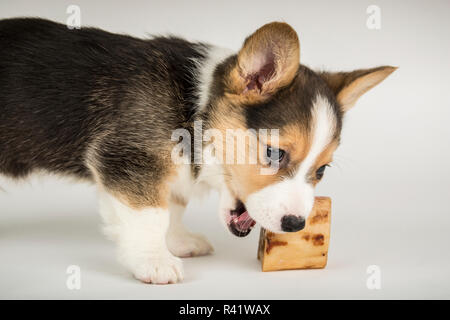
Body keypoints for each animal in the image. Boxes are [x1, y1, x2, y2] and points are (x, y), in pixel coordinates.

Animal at [0, 17, 394, 284]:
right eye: (274, 154)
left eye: (322, 170)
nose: (295, 225)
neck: (195, 106)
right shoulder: (128, 158)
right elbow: (151, 215)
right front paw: (154, 261)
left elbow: (173, 206)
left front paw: (178, 241)